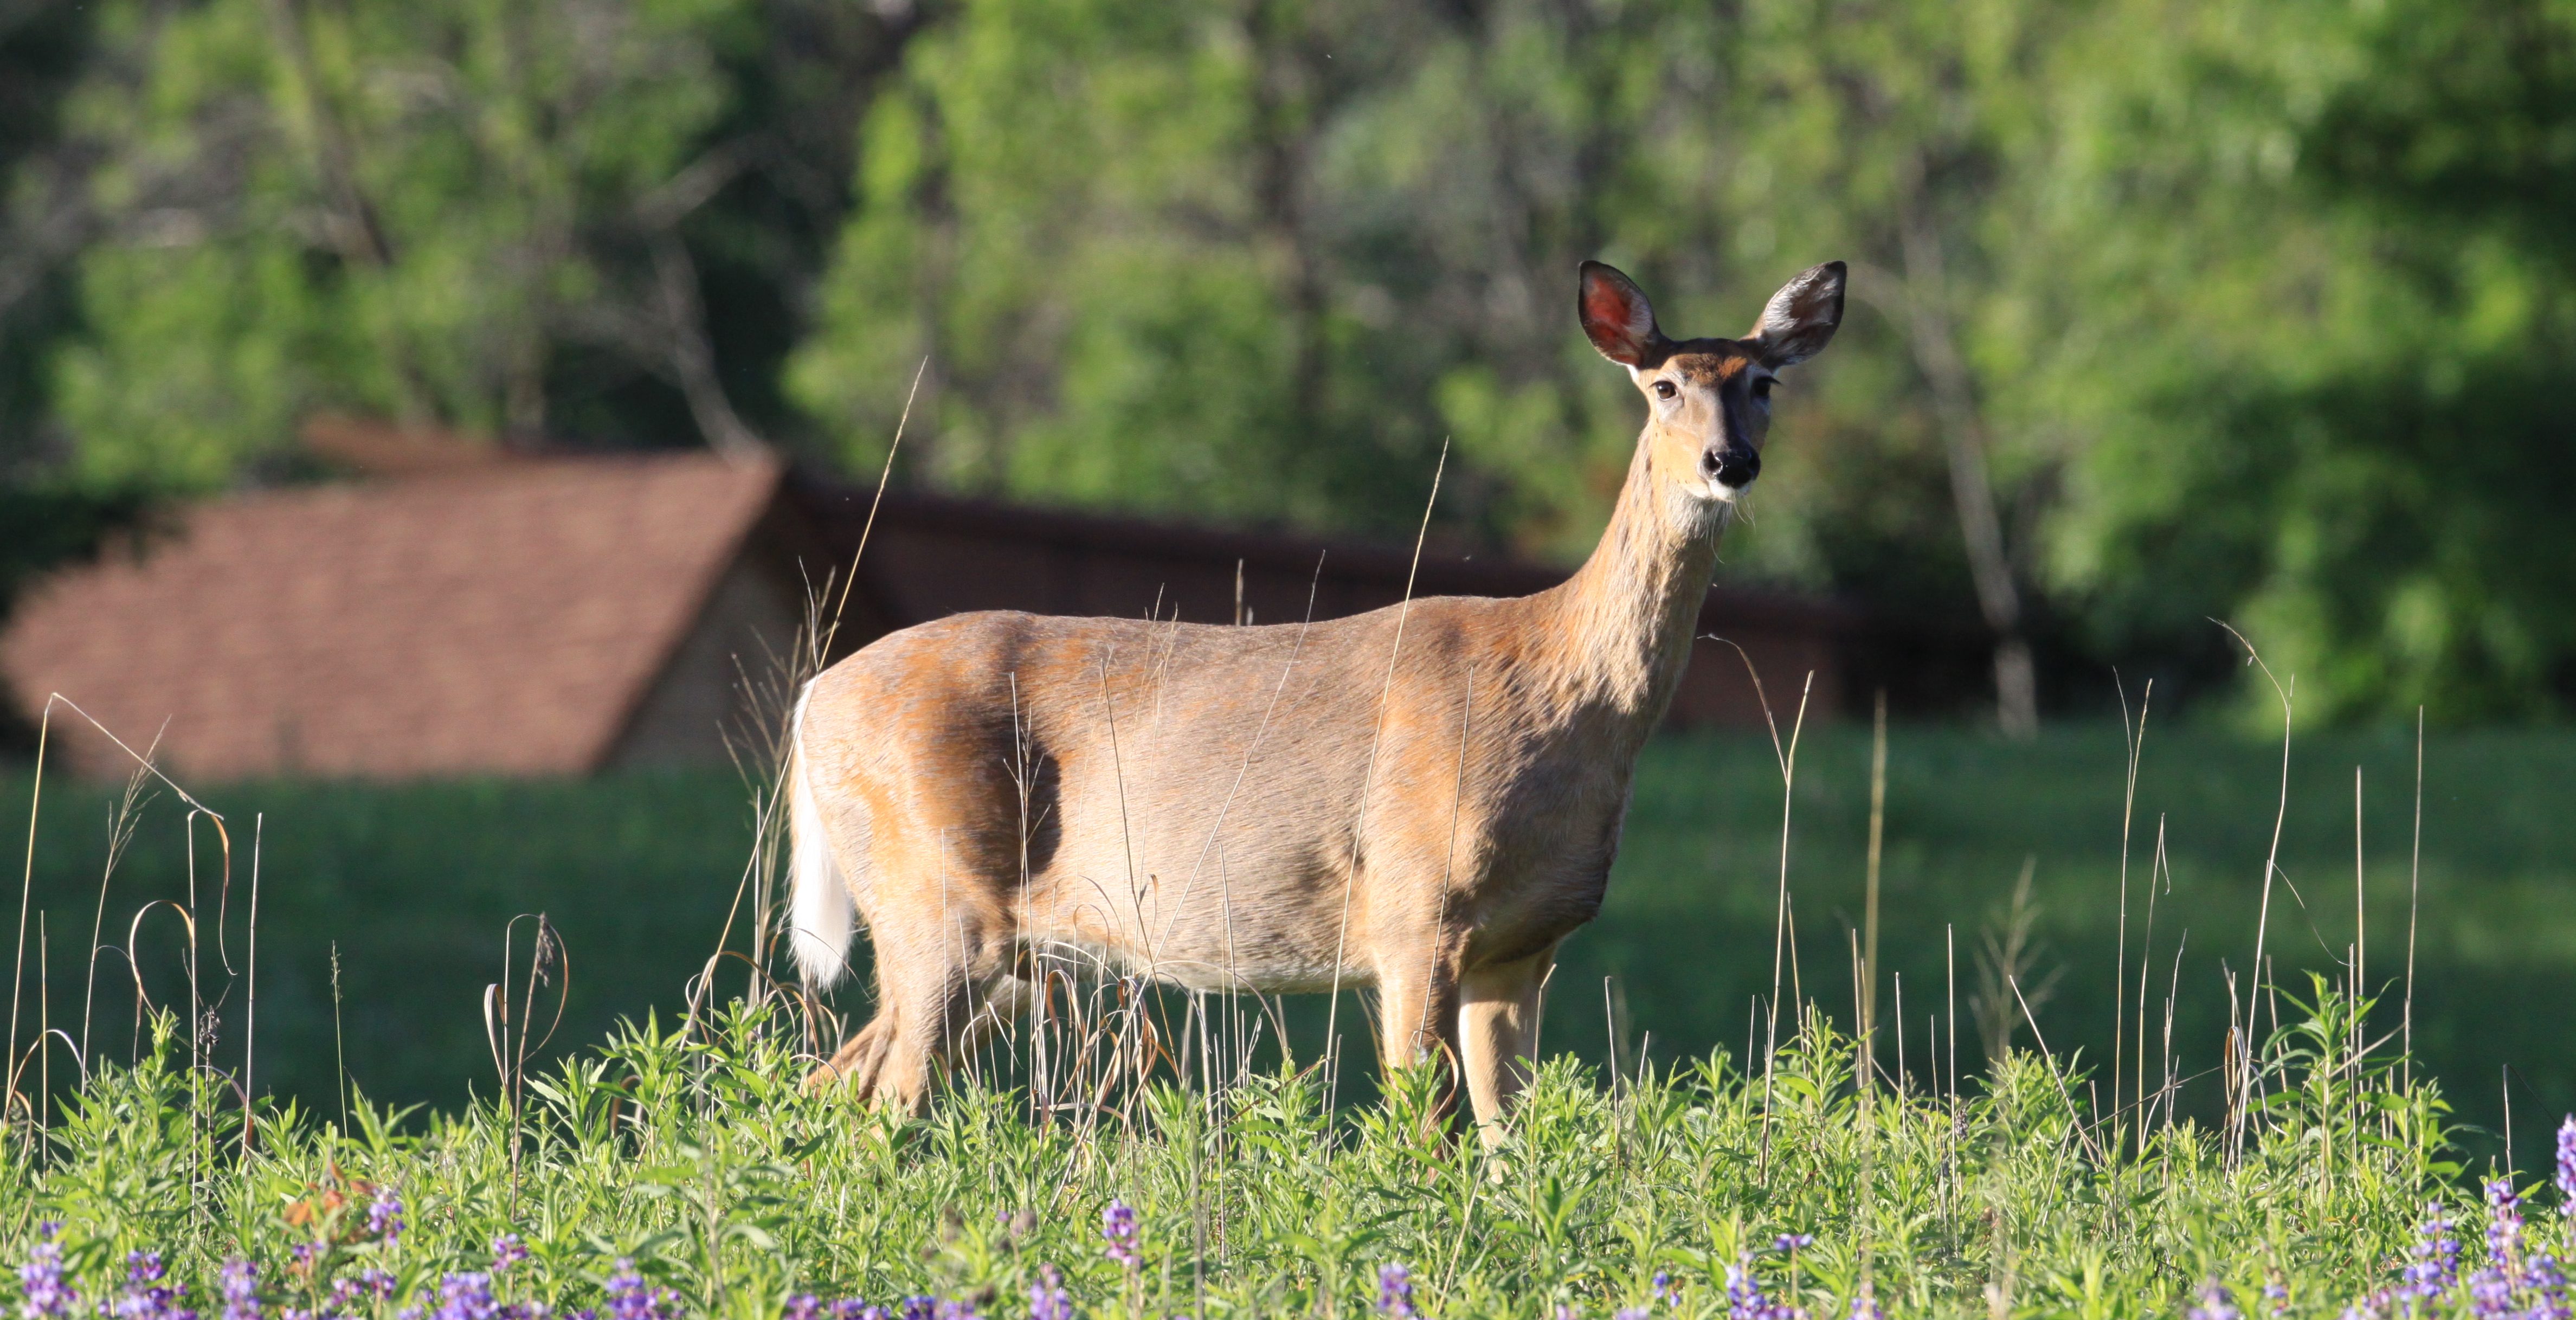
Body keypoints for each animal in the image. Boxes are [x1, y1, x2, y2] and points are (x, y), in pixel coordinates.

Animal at [783, 257, 1834, 1134]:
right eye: (1664, 387)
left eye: (1763, 383)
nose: (1730, 462)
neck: (1559, 688)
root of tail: (811, 703)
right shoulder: (1415, 909)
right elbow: (1426, 1131)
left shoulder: (1521, 946)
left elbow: (1511, 1142)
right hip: (933, 895)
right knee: (885, 1098)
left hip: (1000, 944)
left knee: (837, 1082)